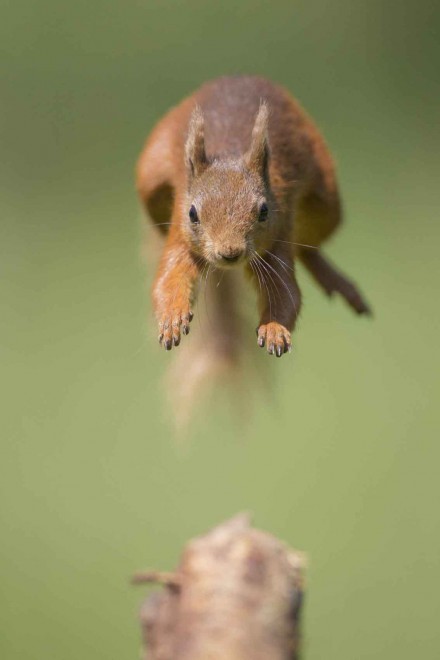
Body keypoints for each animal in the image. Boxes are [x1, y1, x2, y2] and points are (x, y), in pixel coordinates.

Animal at [137, 76, 370, 370]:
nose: (229, 253)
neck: (229, 153)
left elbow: (287, 294)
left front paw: (274, 330)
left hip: (325, 201)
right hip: (150, 177)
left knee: (308, 245)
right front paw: (171, 320)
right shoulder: (180, 236)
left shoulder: (278, 239)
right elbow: (167, 281)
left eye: (264, 211)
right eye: (192, 213)